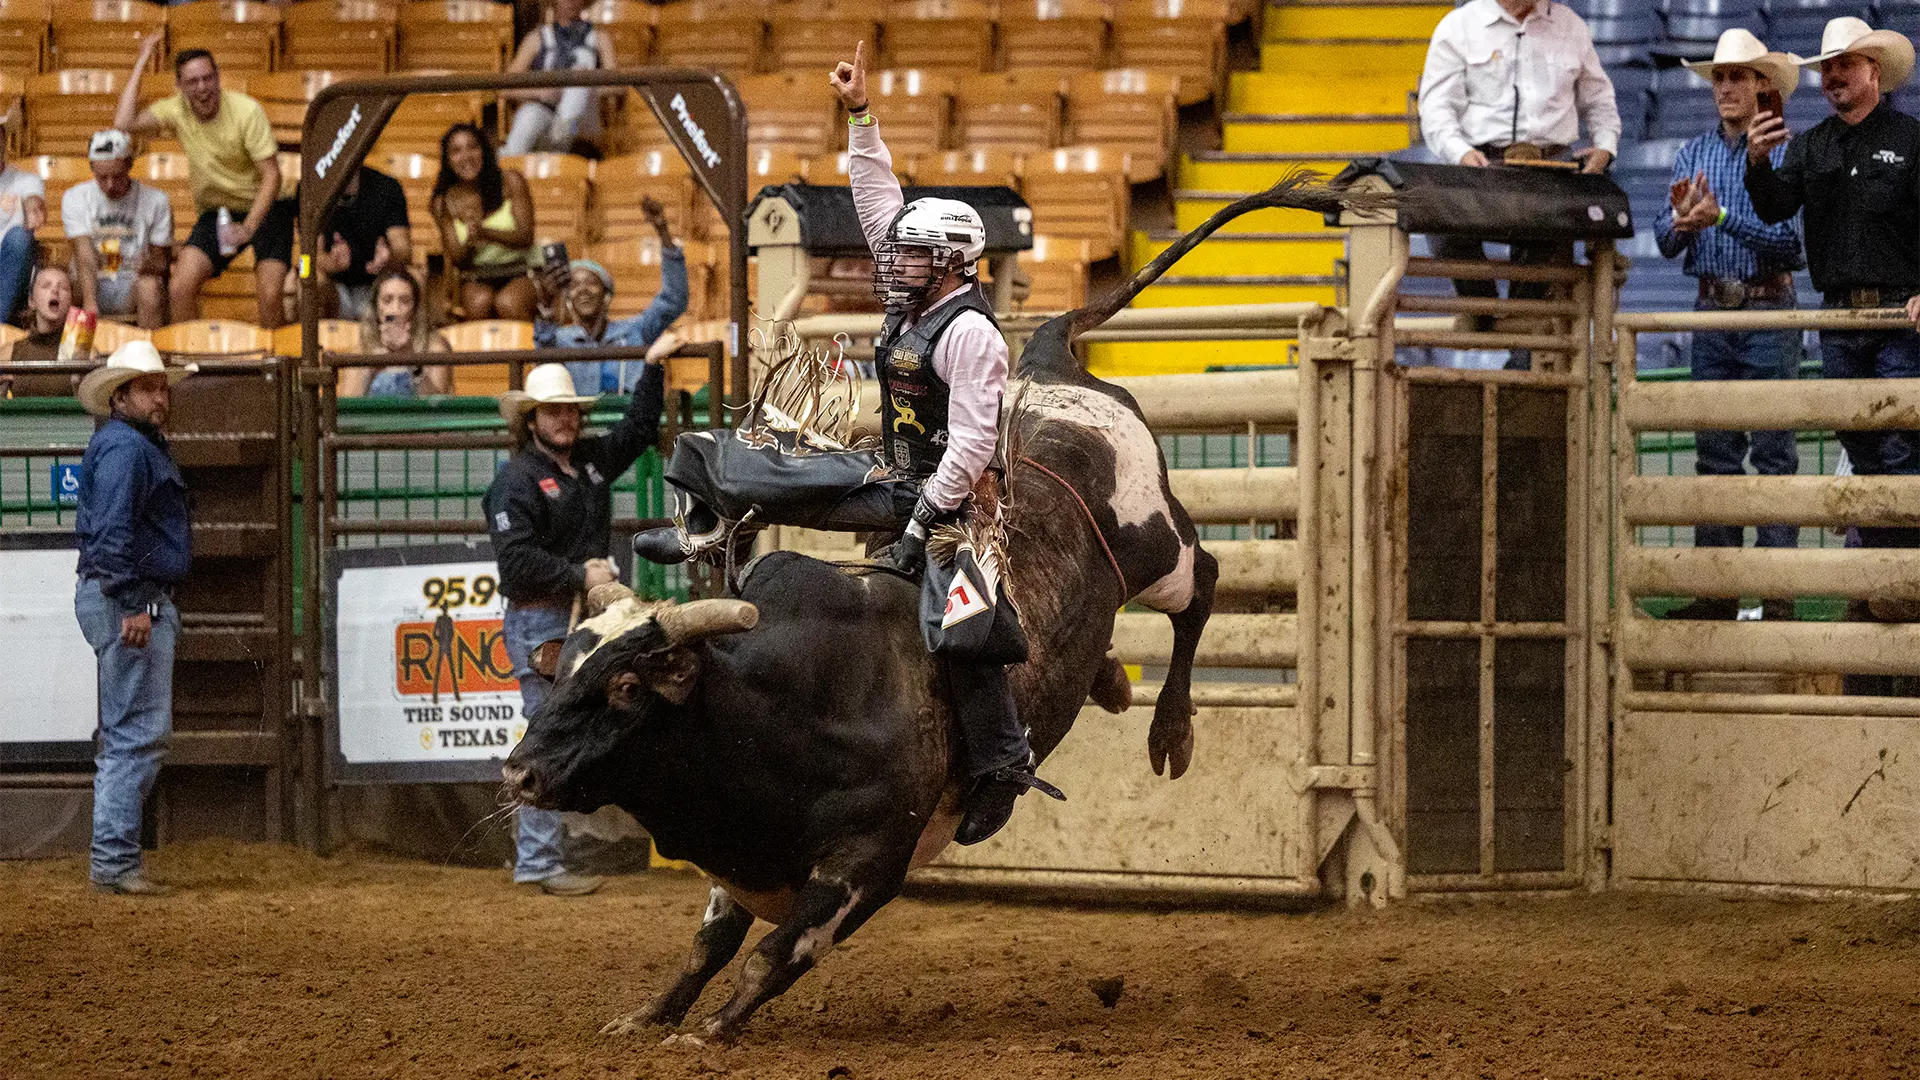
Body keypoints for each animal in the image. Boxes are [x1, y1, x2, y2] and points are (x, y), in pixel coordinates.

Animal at [503, 171, 1390, 1037]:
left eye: (625, 686)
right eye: (565, 671)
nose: (519, 772)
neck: (778, 698)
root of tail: (1048, 366)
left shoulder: (872, 863)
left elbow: (776, 953)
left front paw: (711, 1030)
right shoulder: (742, 855)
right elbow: (710, 940)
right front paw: (649, 1016)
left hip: (1155, 543)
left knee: (1201, 586)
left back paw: (1170, 728)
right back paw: (1109, 680)